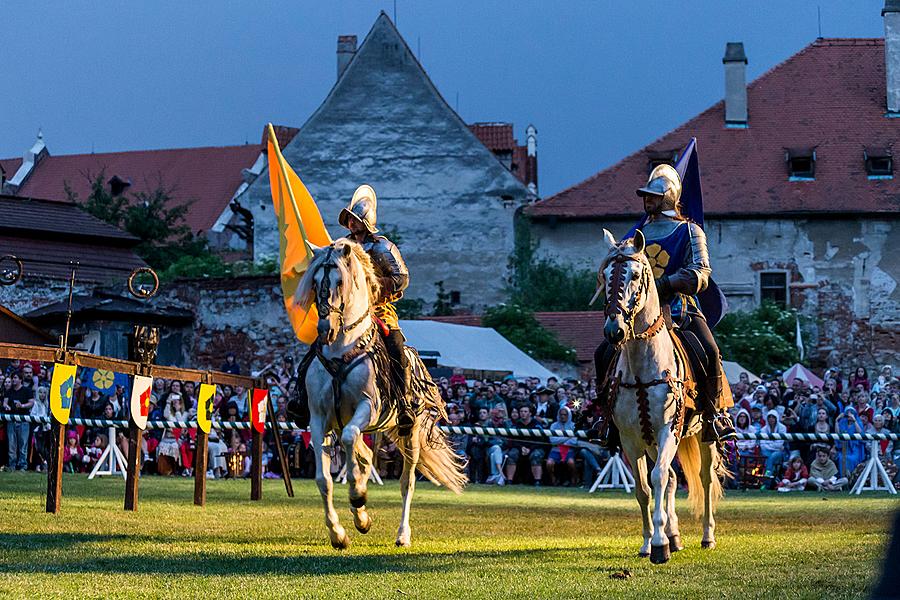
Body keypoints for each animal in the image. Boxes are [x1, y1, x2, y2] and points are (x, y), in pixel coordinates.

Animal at [596, 229, 732, 564]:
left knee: (705, 479)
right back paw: (674, 535)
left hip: (703, 435)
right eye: (605, 275)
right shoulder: (631, 440)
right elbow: (644, 488)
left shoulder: (668, 430)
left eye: (635, 274)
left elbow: (658, 479)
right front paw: (650, 541)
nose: (614, 330)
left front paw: (659, 545)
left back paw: (706, 536)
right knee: (670, 477)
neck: (643, 368)